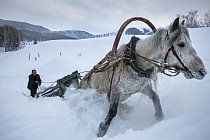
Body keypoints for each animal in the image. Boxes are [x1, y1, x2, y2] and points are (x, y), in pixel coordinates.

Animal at [79, 17, 207, 137]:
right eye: (181, 44)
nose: (202, 72)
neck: (134, 60)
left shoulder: (142, 87)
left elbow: (155, 97)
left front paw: (159, 117)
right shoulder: (116, 90)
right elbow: (112, 112)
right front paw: (102, 130)